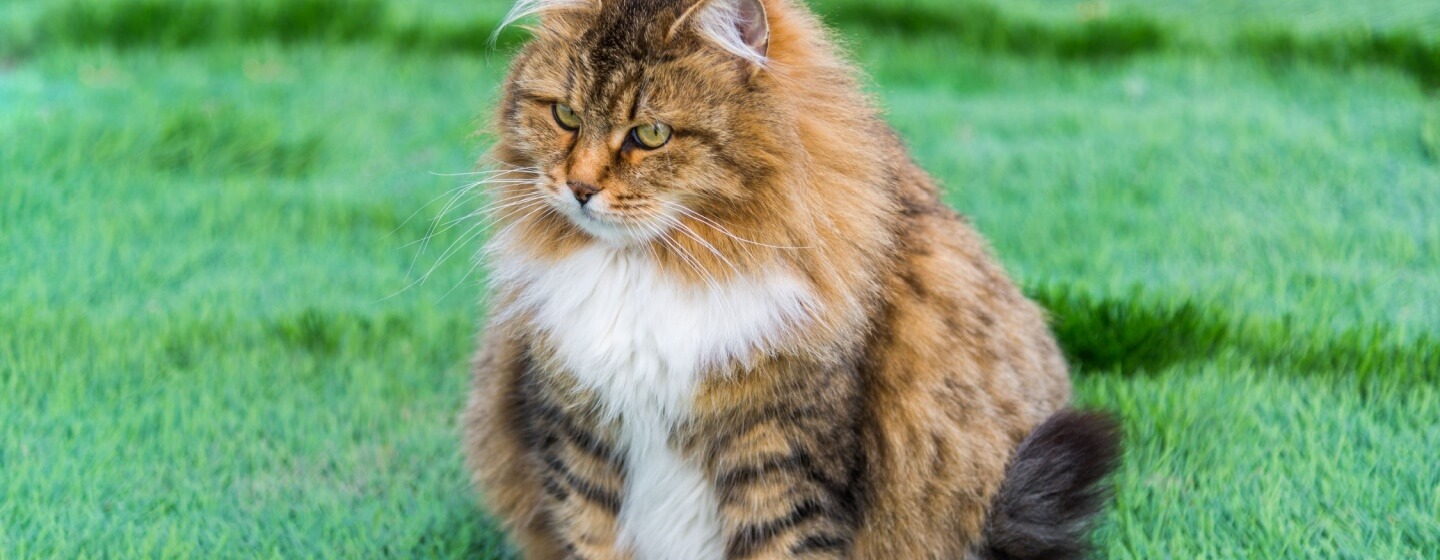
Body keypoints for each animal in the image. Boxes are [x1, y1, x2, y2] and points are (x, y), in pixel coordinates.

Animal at [460, 2, 1123, 555]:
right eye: (565, 116)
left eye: (650, 134)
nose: (578, 188)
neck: (652, 268)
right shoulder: (576, 441)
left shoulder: (781, 457)